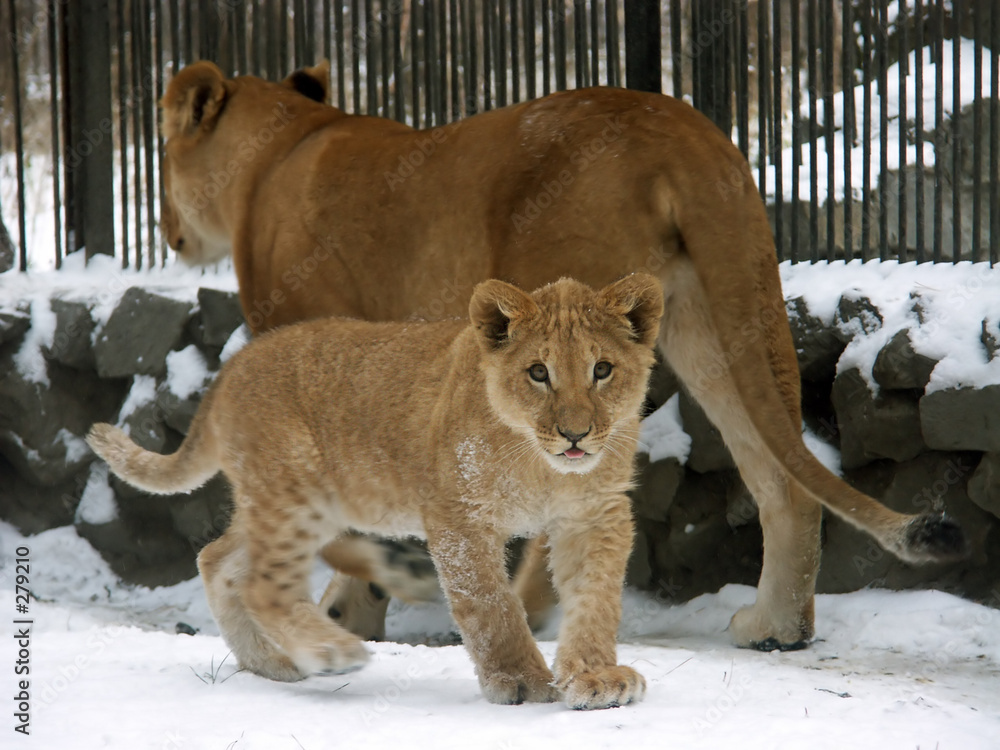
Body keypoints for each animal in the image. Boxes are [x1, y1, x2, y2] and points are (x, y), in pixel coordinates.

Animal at [88, 275, 666, 709]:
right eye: (538, 372)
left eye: (602, 369)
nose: (575, 435)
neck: (543, 468)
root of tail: (232, 366)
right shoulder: (457, 516)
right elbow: (491, 604)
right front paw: (520, 680)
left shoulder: (595, 513)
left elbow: (595, 598)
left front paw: (595, 677)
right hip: (294, 493)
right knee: (261, 583)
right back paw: (328, 652)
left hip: (292, 503)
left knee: (216, 559)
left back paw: (271, 665)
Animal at [159, 61, 967, 653]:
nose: (167, 229)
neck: (276, 151)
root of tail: (682, 133)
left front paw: (343, 611)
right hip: (719, 317)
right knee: (781, 474)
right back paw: (778, 627)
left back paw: (515, 613)